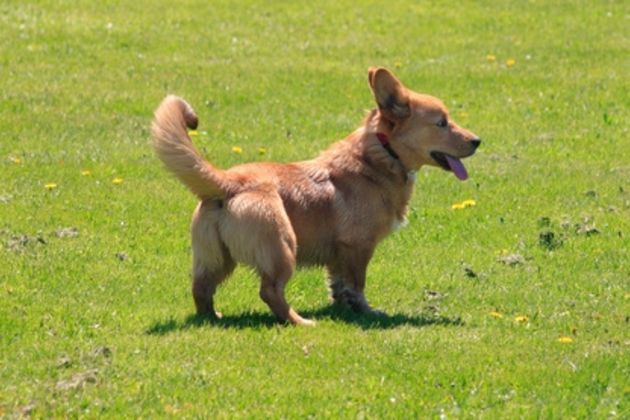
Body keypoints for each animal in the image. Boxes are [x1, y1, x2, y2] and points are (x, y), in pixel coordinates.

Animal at [151, 68, 482, 324]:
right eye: (441, 122)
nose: (478, 141)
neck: (379, 156)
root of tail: (230, 181)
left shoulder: (339, 256)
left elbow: (339, 286)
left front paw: (344, 309)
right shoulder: (357, 247)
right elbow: (357, 285)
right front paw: (366, 313)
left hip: (215, 259)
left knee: (201, 289)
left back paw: (212, 317)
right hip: (282, 247)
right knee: (270, 291)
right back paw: (298, 321)